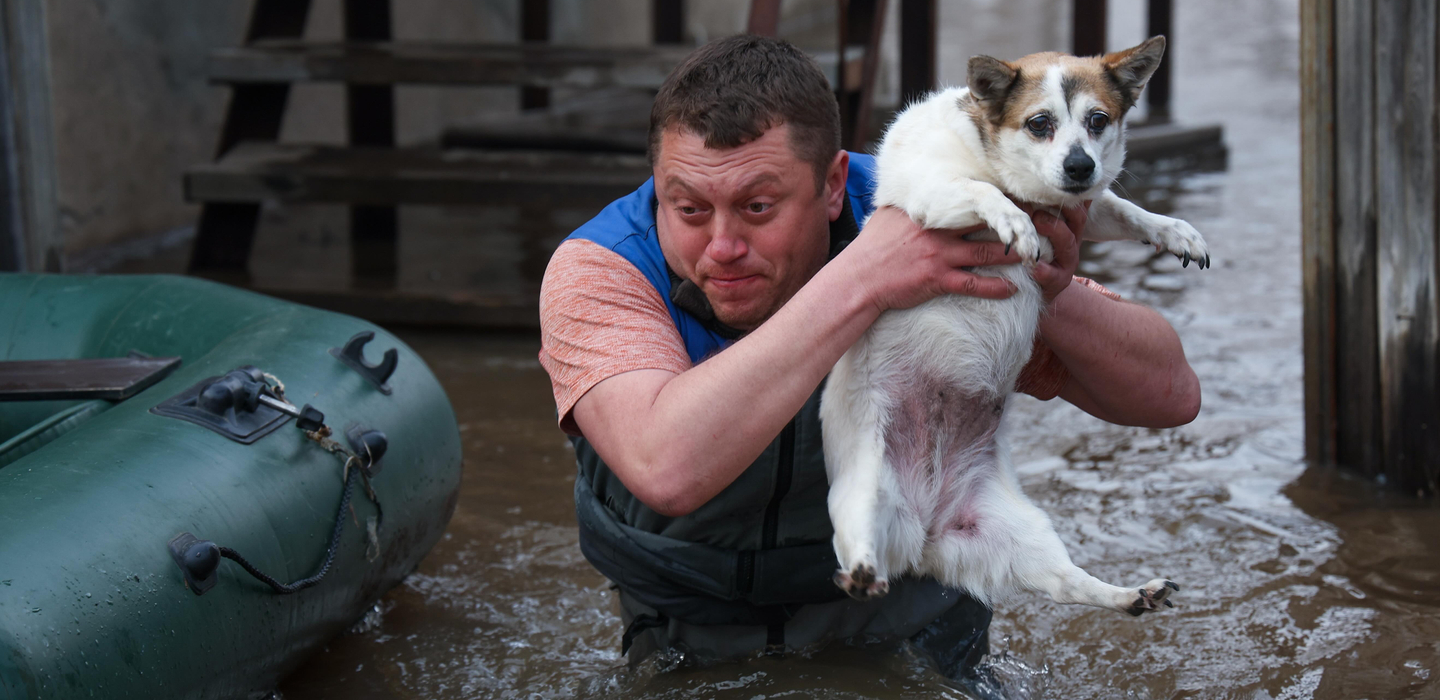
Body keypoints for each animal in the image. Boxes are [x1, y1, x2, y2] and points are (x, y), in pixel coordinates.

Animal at [823, 35, 1203, 616]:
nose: (1079, 165)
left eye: (1097, 120)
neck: (997, 162)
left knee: (1070, 583)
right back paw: (863, 572)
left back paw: (1131, 594)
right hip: (864, 492)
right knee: (859, 543)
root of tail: (925, 535)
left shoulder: (1085, 207)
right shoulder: (932, 194)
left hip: (1021, 534)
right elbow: (985, 194)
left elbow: (1122, 207)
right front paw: (1015, 222)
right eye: (1039, 124)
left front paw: (1173, 230)